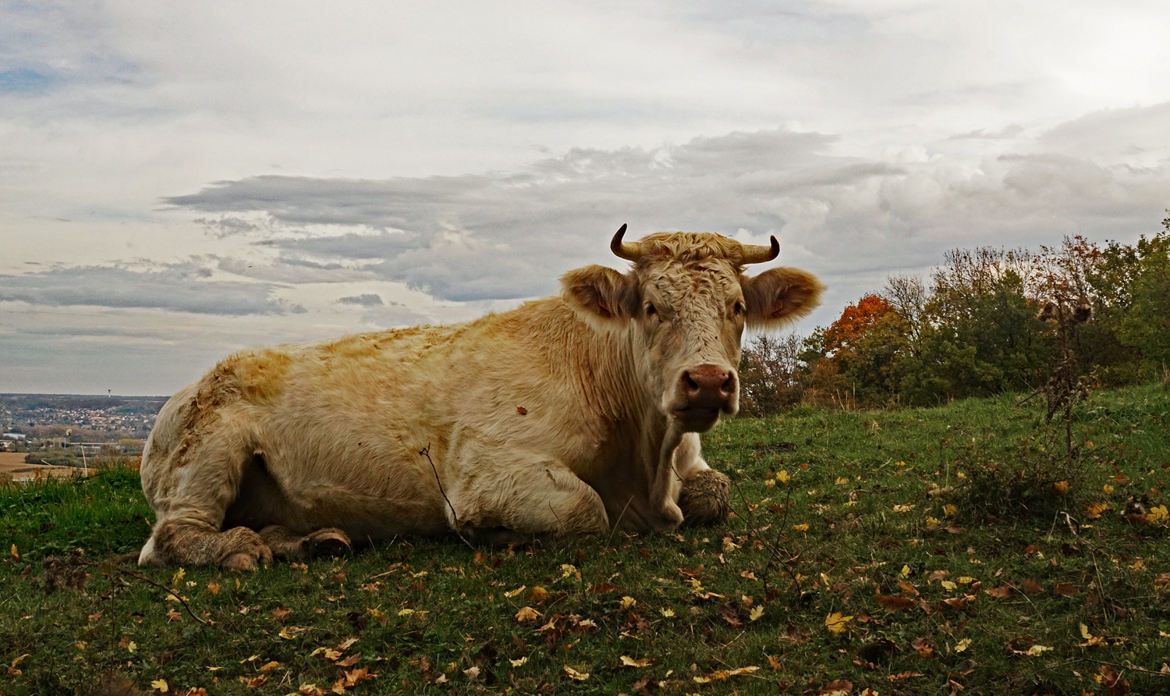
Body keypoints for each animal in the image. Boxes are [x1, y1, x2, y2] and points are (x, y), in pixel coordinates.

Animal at [136, 225, 823, 568]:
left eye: (737, 307)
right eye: (652, 306)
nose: (707, 380)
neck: (645, 457)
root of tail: (180, 393)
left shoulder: (690, 459)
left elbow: (715, 492)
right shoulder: (486, 467)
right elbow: (585, 511)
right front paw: (499, 536)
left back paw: (313, 541)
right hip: (208, 451)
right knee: (168, 540)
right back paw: (240, 550)